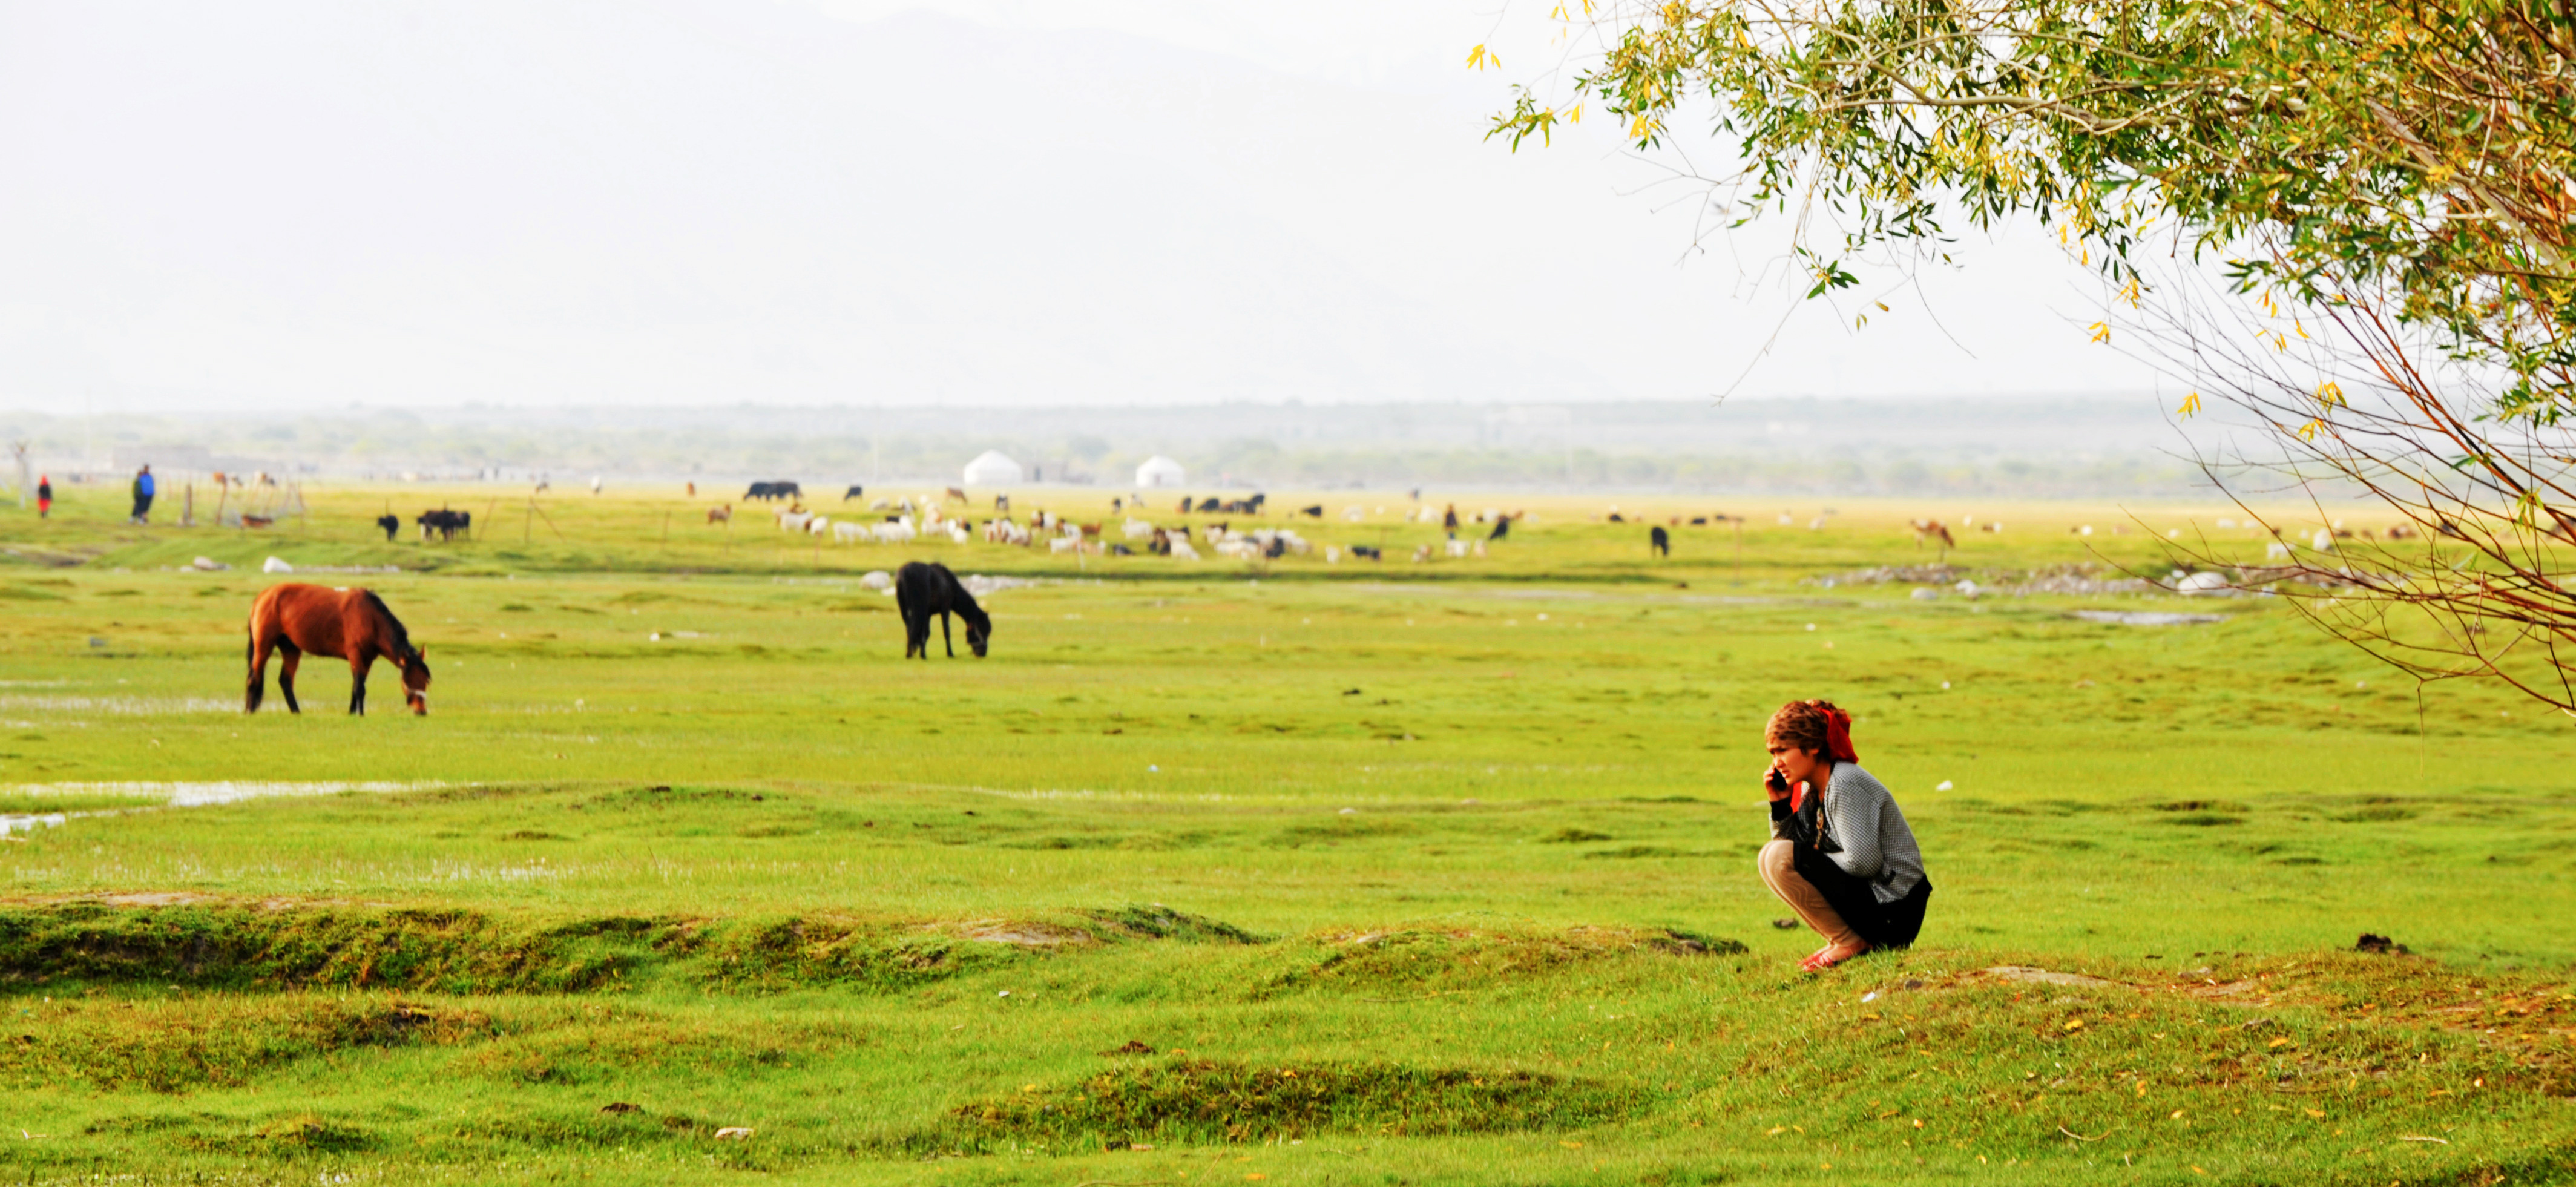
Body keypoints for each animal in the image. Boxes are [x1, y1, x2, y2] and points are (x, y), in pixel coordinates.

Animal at [243, 582, 430, 711]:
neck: (371, 618)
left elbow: (357, 687)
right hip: (264, 645)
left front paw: (352, 713)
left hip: (291, 649)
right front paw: (360, 714)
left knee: (286, 681)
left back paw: (296, 712)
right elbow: (359, 688)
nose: (421, 711)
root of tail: (263, 595)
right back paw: (249, 711)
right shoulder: (356, 654)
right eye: (408, 679)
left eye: (426, 680)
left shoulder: (368, 659)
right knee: (254, 677)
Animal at [901, 561, 989, 659]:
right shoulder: (945, 609)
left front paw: (922, 652)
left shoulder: (928, 613)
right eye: (983, 630)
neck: (951, 584)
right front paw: (950, 653)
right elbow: (946, 631)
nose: (983, 653)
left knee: (910, 627)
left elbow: (925, 632)